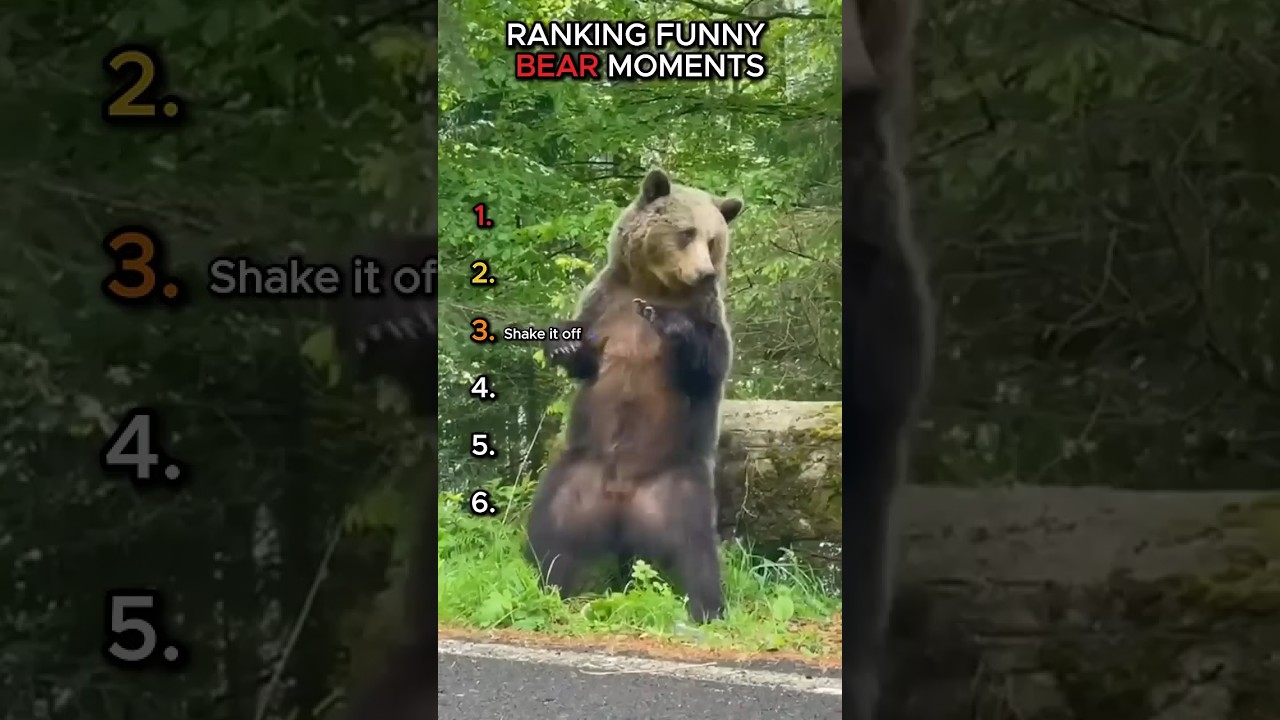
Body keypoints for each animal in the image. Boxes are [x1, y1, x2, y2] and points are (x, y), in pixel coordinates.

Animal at [526, 168, 743, 623]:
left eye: (713, 240)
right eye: (686, 232)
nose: (705, 273)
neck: (654, 285)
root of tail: (621, 505)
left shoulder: (706, 314)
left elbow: (710, 363)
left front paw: (670, 324)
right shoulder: (605, 302)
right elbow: (585, 358)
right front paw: (564, 346)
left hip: (678, 487)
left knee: (696, 553)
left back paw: (707, 608)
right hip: (575, 476)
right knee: (551, 537)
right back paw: (552, 587)